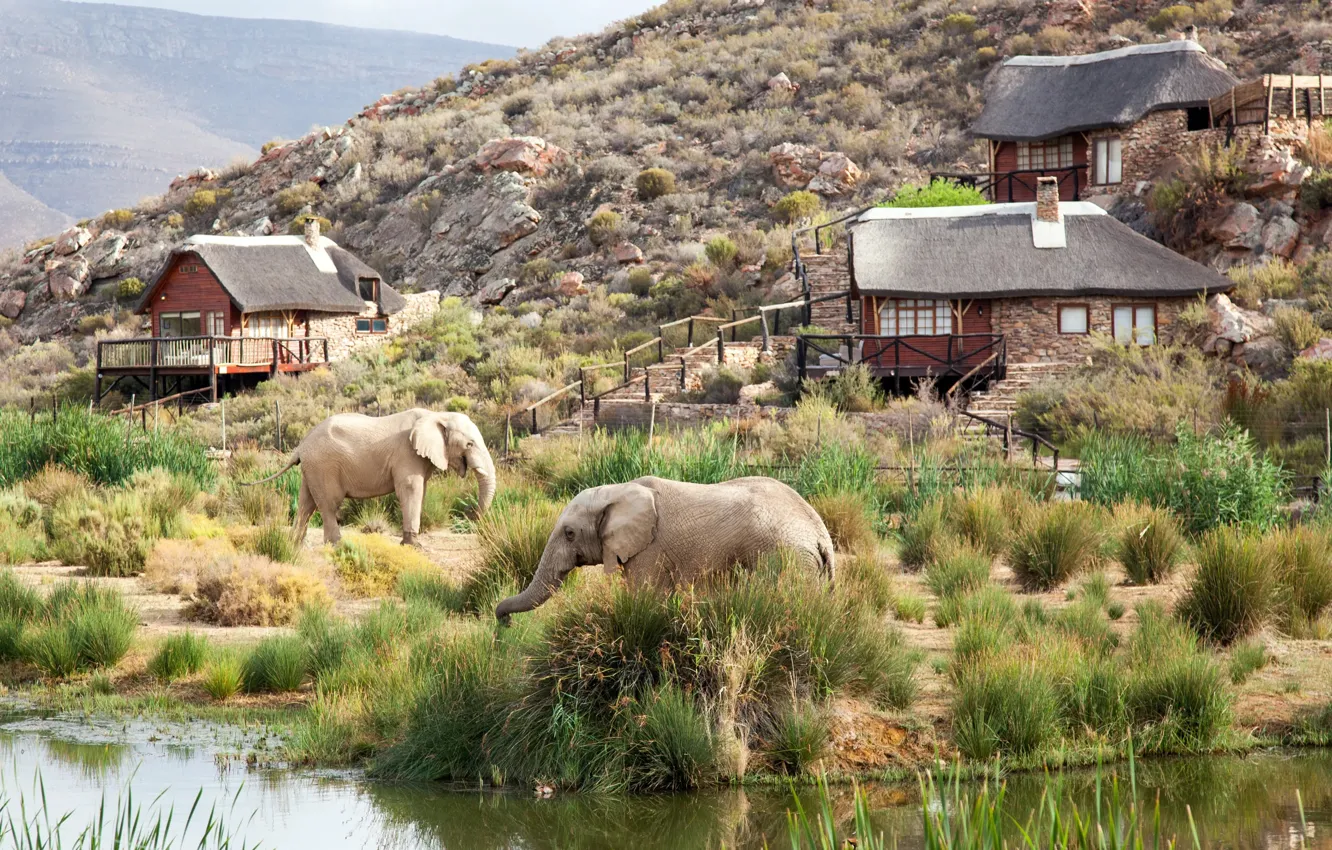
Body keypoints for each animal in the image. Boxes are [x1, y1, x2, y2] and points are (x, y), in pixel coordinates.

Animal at [247, 410, 498, 546]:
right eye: (469, 444)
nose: (469, 512)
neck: (436, 415)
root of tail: (300, 447)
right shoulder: (406, 454)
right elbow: (410, 489)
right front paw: (414, 546)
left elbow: (420, 490)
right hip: (324, 466)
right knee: (328, 504)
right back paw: (337, 545)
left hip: (312, 469)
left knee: (306, 503)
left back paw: (294, 545)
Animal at [495, 479, 836, 626]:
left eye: (569, 533)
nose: (504, 623)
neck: (618, 490)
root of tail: (822, 535)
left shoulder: (650, 549)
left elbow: (645, 600)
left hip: (788, 559)